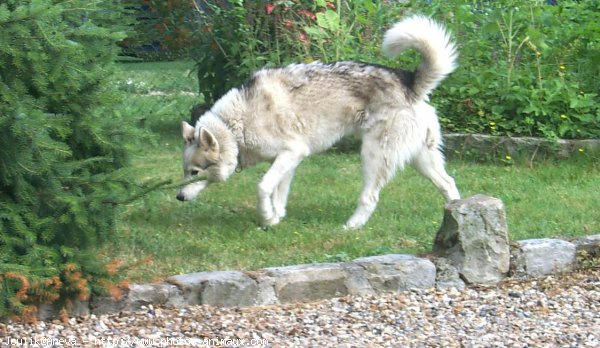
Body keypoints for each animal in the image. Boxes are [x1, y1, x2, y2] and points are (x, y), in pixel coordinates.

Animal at [177, 14, 460, 230]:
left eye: (195, 172)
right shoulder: (287, 160)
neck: (234, 126)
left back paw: (351, 226)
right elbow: (278, 194)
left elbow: (263, 187)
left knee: (369, 197)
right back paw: (458, 217)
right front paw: (274, 219)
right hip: (421, 158)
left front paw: (266, 217)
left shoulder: (292, 153)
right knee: (449, 183)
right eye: (185, 171)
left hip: (374, 156)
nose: (178, 196)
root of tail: (409, 82)